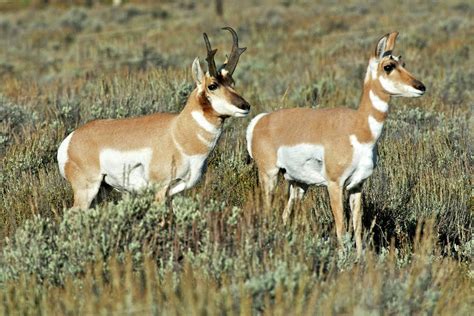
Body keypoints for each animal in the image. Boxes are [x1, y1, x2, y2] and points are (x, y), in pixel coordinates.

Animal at [57, 27, 250, 210]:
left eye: (232, 83)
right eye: (212, 85)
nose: (245, 106)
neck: (178, 132)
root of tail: (70, 139)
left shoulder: (175, 190)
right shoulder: (160, 189)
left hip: (101, 190)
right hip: (87, 189)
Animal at [246, 32, 428, 254]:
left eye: (403, 63)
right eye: (388, 66)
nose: (421, 87)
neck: (359, 128)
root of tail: (260, 120)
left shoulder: (357, 186)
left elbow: (357, 226)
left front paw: (360, 257)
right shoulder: (334, 185)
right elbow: (341, 226)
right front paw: (343, 257)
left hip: (299, 184)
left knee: (284, 215)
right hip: (269, 176)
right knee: (267, 211)